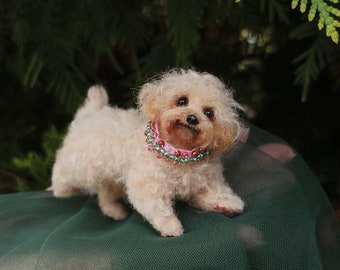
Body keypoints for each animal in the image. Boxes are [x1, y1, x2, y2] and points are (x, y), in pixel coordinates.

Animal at [51, 69, 244, 236]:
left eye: (209, 113)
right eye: (182, 101)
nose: (192, 118)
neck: (180, 154)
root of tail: (89, 115)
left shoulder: (203, 183)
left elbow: (215, 193)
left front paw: (229, 204)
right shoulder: (148, 184)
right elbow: (157, 208)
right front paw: (171, 226)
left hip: (113, 176)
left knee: (105, 193)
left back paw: (114, 210)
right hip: (80, 167)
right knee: (61, 168)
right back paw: (59, 190)